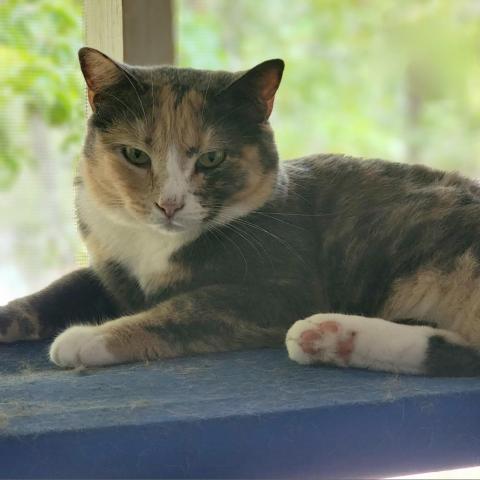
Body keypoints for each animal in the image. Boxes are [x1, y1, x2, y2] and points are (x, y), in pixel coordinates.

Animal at [2, 45, 480, 376]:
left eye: (212, 158)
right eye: (135, 155)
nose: (169, 203)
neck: (154, 246)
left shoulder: (279, 290)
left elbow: (184, 309)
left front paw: (86, 338)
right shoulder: (111, 272)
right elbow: (60, 288)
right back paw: (329, 339)